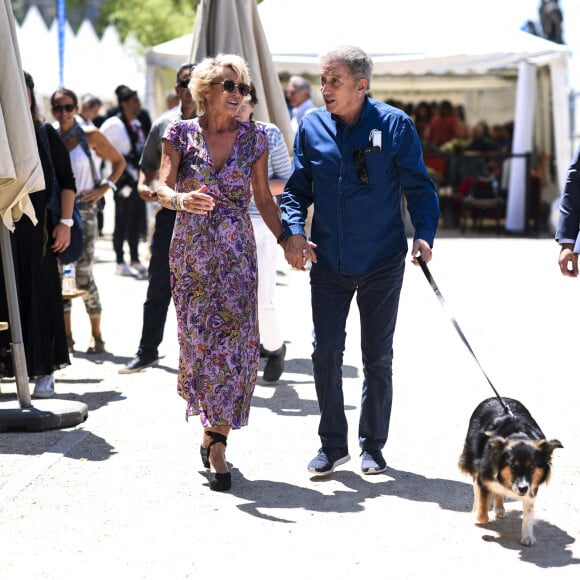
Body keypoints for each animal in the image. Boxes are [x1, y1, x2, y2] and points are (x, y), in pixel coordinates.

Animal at [458, 396, 560, 548]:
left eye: (532, 467)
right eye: (512, 466)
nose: (522, 488)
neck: (520, 436)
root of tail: (495, 398)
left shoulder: (531, 486)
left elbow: (528, 514)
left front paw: (527, 537)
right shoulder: (484, 475)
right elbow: (483, 509)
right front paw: (479, 515)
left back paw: (500, 509)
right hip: (472, 454)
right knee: (476, 486)